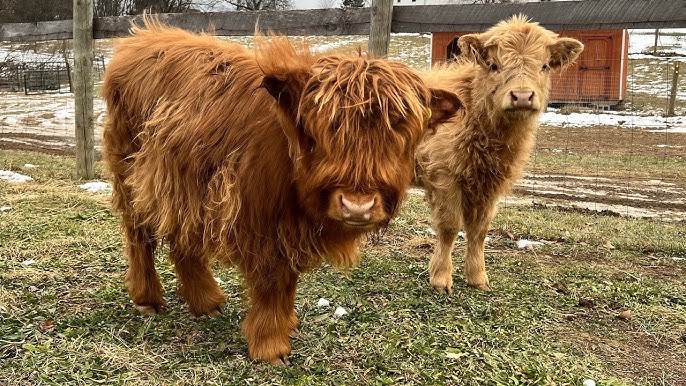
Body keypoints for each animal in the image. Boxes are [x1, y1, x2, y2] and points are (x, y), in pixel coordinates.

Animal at [102, 20, 462, 364]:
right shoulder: (262, 225)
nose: (357, 206)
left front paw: (286, 325)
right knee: (139, 235)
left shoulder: (287, 230)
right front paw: (270, 346)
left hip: (182, 185)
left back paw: (205, 301)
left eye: (399, 128)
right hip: (132, 175)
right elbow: (273, 281)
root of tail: (140, 38)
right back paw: (148, 298)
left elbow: (287, 280)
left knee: (182, 238)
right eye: (321, 130)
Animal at [416, 15, 584, 292]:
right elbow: (449, 227)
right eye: (495, 65)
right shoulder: (444, 175)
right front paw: (441, 278)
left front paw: (477, 278)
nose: (522, 96)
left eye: (544, 66)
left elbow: (479, 230)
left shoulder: (490, 184)